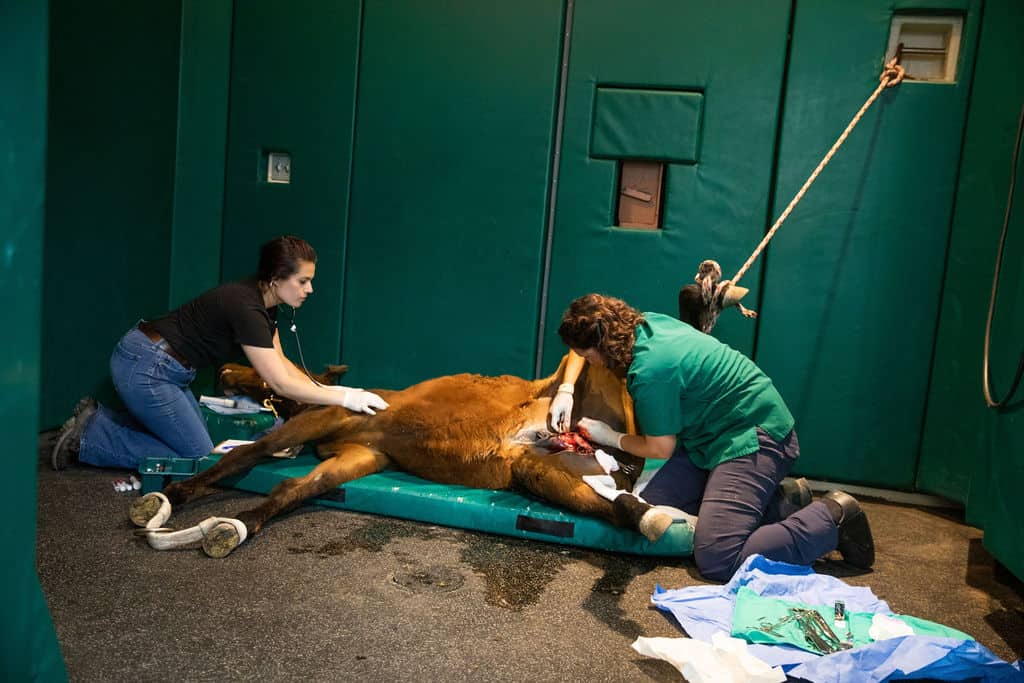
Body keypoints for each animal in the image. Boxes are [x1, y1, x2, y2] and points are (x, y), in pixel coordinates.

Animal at [128, 356, 675, 557]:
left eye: (251, 370)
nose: (223, 371)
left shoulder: (326, 421)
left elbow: (244, 457)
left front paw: (175, 496)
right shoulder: (360, 457)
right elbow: (291, 488)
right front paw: (237, 524)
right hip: (535, 470)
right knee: (609, 502)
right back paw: (651, 515)